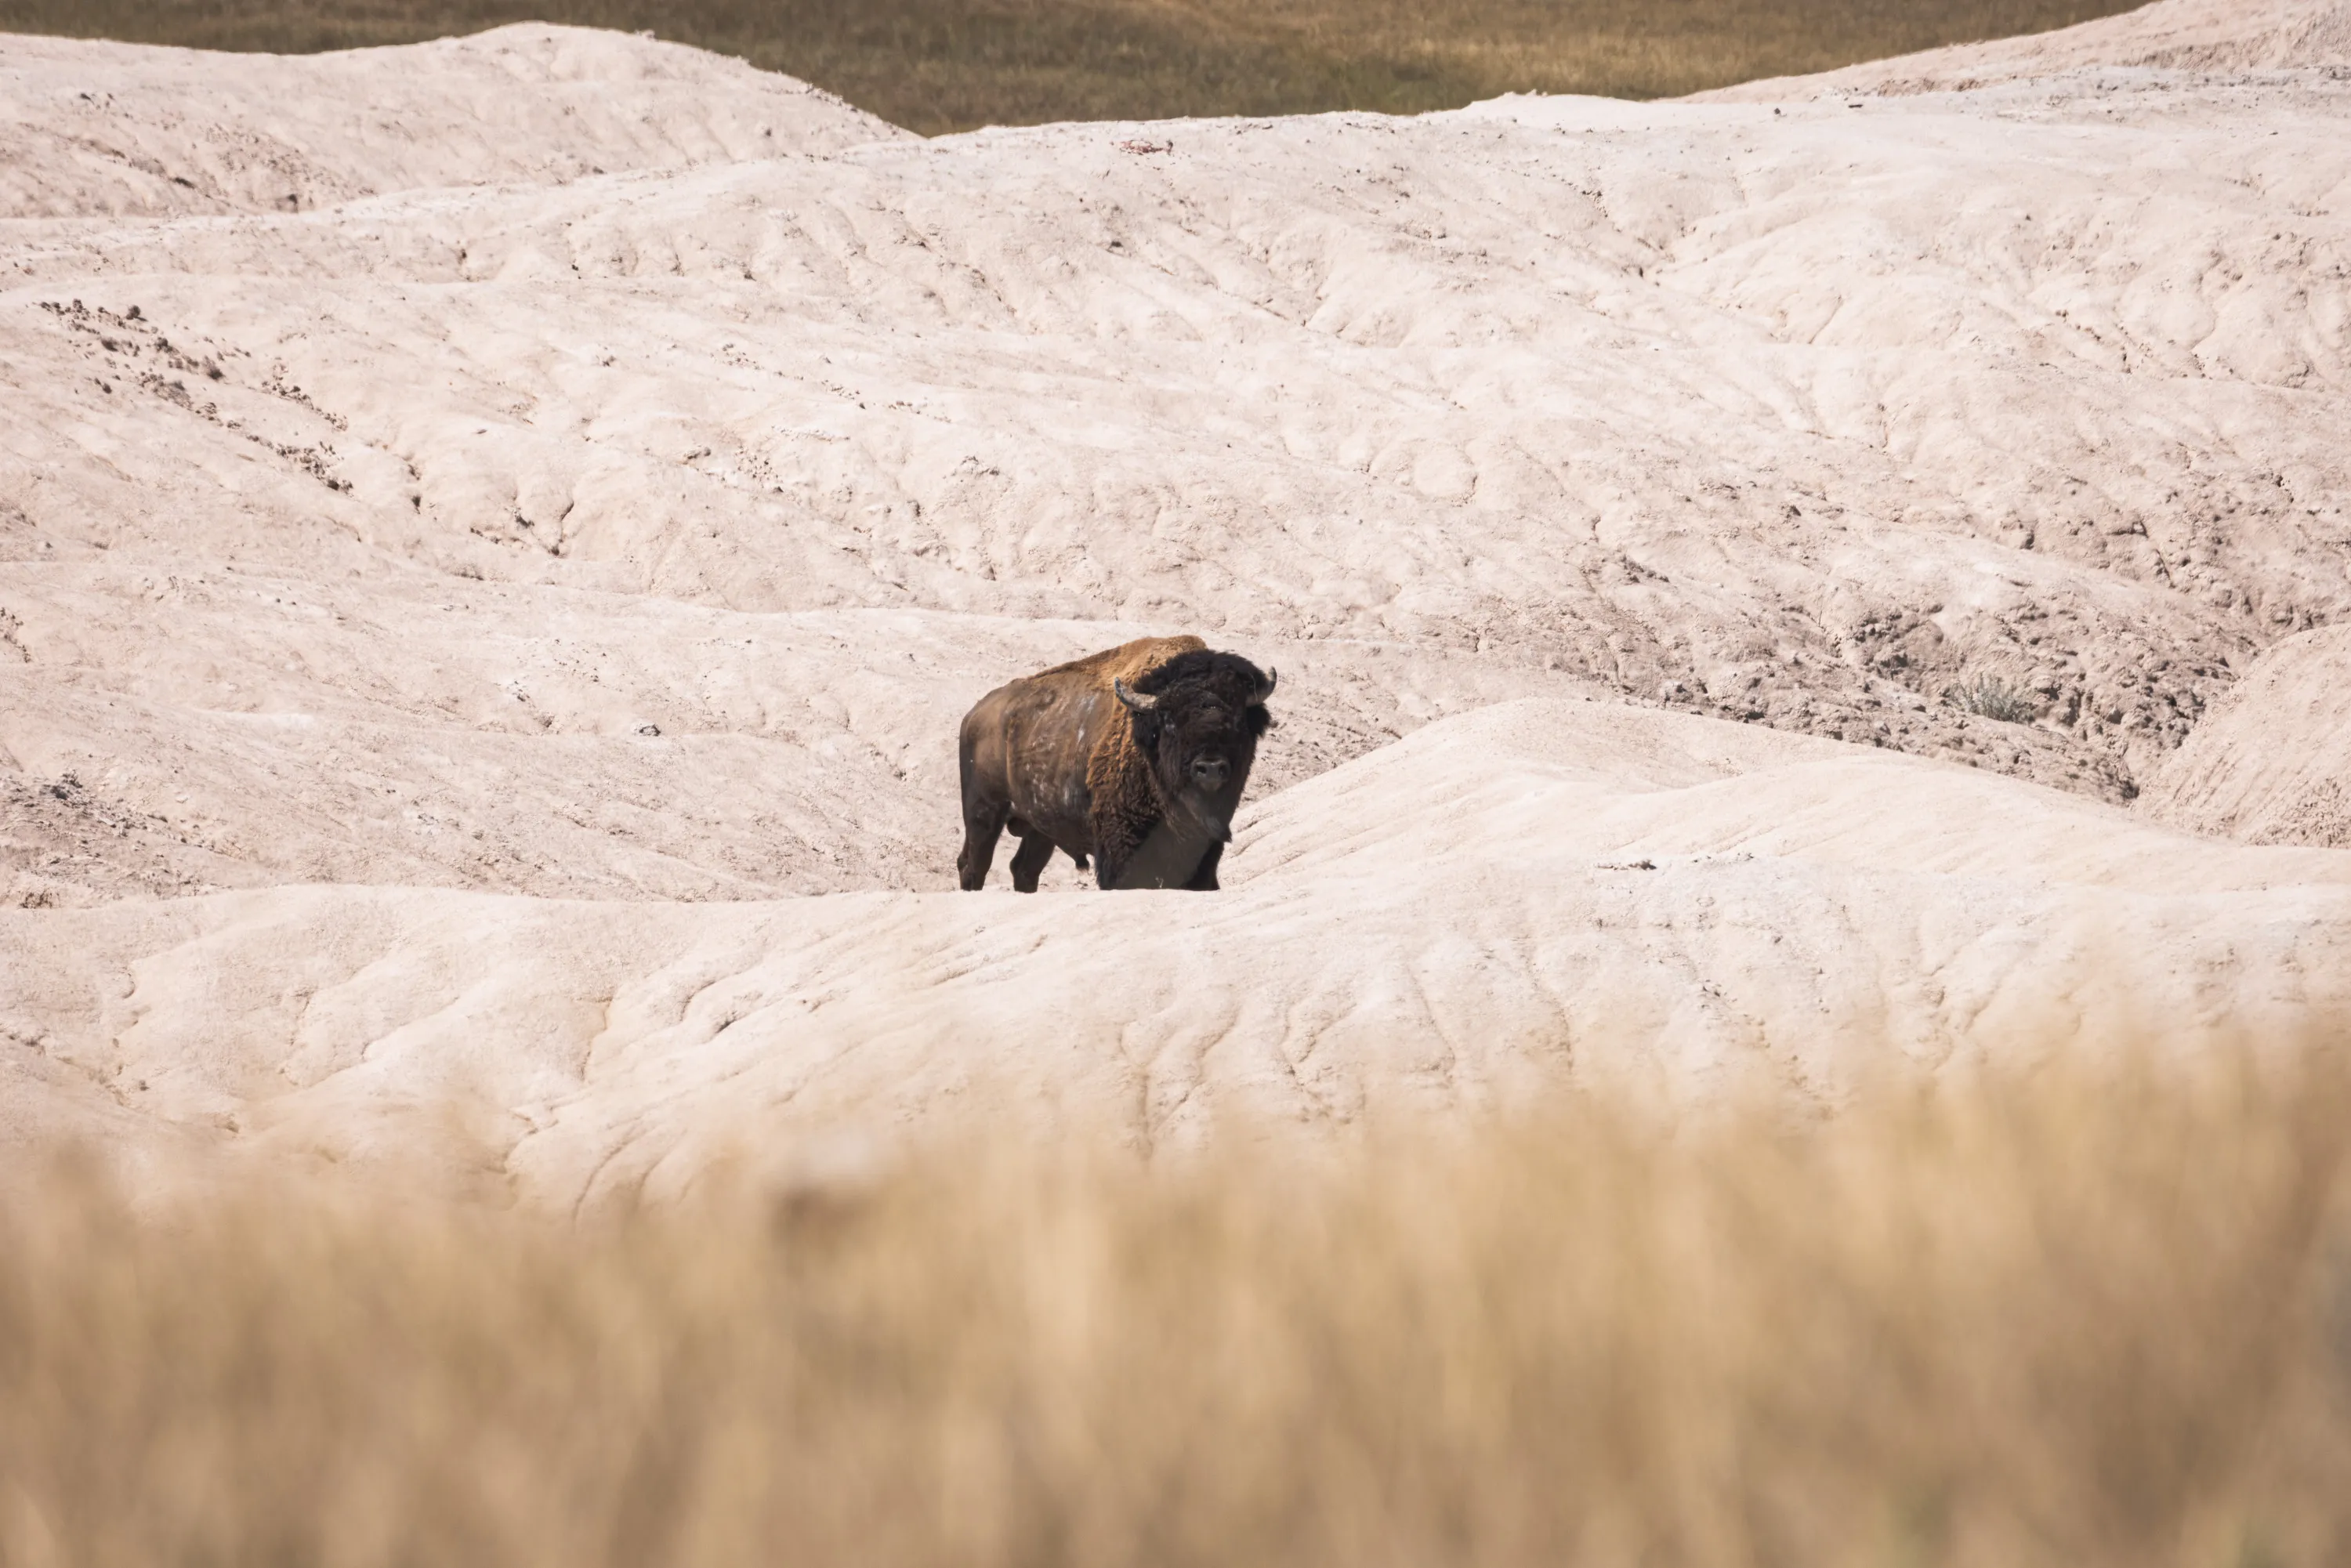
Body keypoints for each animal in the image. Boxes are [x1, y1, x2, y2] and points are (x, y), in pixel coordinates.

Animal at [957, 636, 1276, 891]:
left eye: (1238, 721)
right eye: (1170, 722)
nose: (1209, 767)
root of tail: (974, 715)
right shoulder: (1121, 845)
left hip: (1040, 829)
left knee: (1023, 869)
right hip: (983, 812)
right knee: (973, 864)